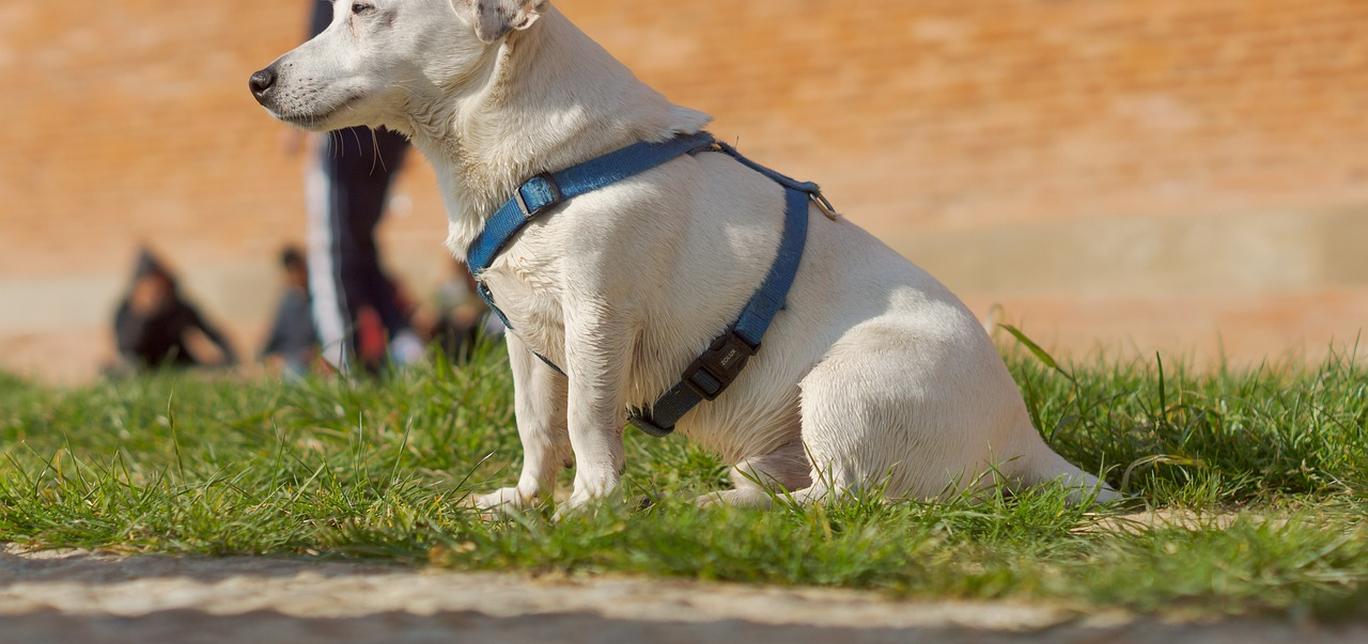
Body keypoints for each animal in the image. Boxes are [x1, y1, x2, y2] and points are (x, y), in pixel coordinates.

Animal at [251, 0, 1116, 514]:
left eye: (365, 9)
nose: (257, 79)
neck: (535, 162)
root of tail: (1026, 440)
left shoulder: (598, 314)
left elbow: (587, 420)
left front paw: (590, 509)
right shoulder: (523, 334)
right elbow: (538, 427)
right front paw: (524, 503)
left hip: (847, 386)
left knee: (849, 499)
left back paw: (721, 511)